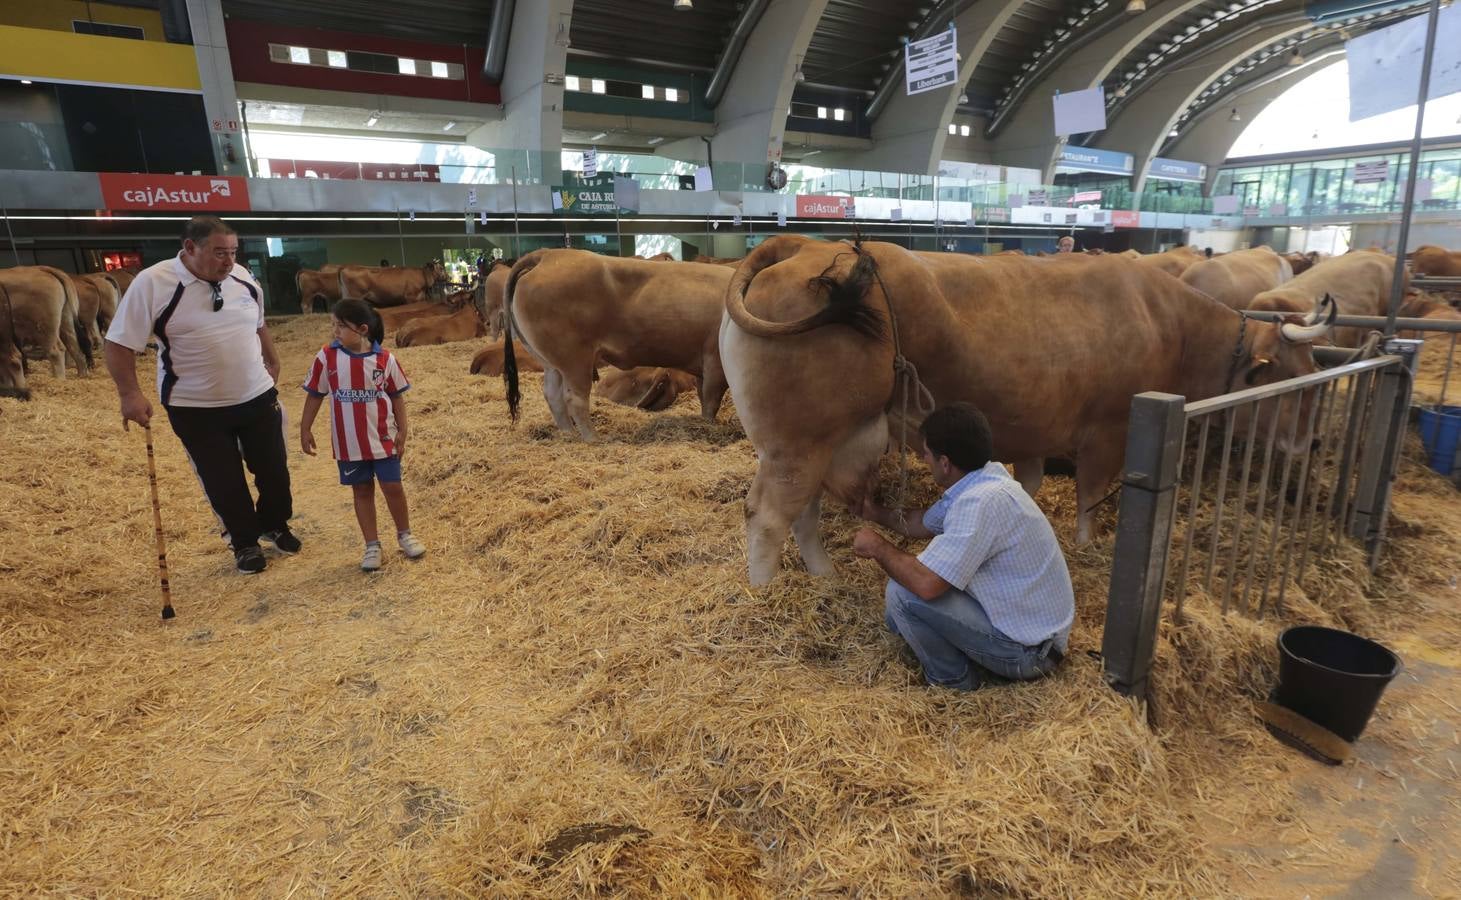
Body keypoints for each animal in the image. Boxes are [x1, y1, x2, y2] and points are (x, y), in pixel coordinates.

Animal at [505, 249, 730, 438]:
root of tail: (548, 254)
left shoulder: (704, 366)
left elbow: (704, 398)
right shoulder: (716, 363)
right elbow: (711, 401)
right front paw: (710, 426)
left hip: (551, 363)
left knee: (553, 396)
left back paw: (568, 435)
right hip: (574, 360)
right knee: (575, 399)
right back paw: (592, 439)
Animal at [718, 235, 1338, 584]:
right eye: (1295, 379)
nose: (1314, 442)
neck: (1169, 324)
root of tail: (804, 245)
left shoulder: (1034, 430)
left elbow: (1030, 487)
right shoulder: (1108, 432)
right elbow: (1089, 499)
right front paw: (1086, 548)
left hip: (811, 444)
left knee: (804, 512)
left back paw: (823, 576)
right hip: (799, 445)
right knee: (768, 516)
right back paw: (764, 593)